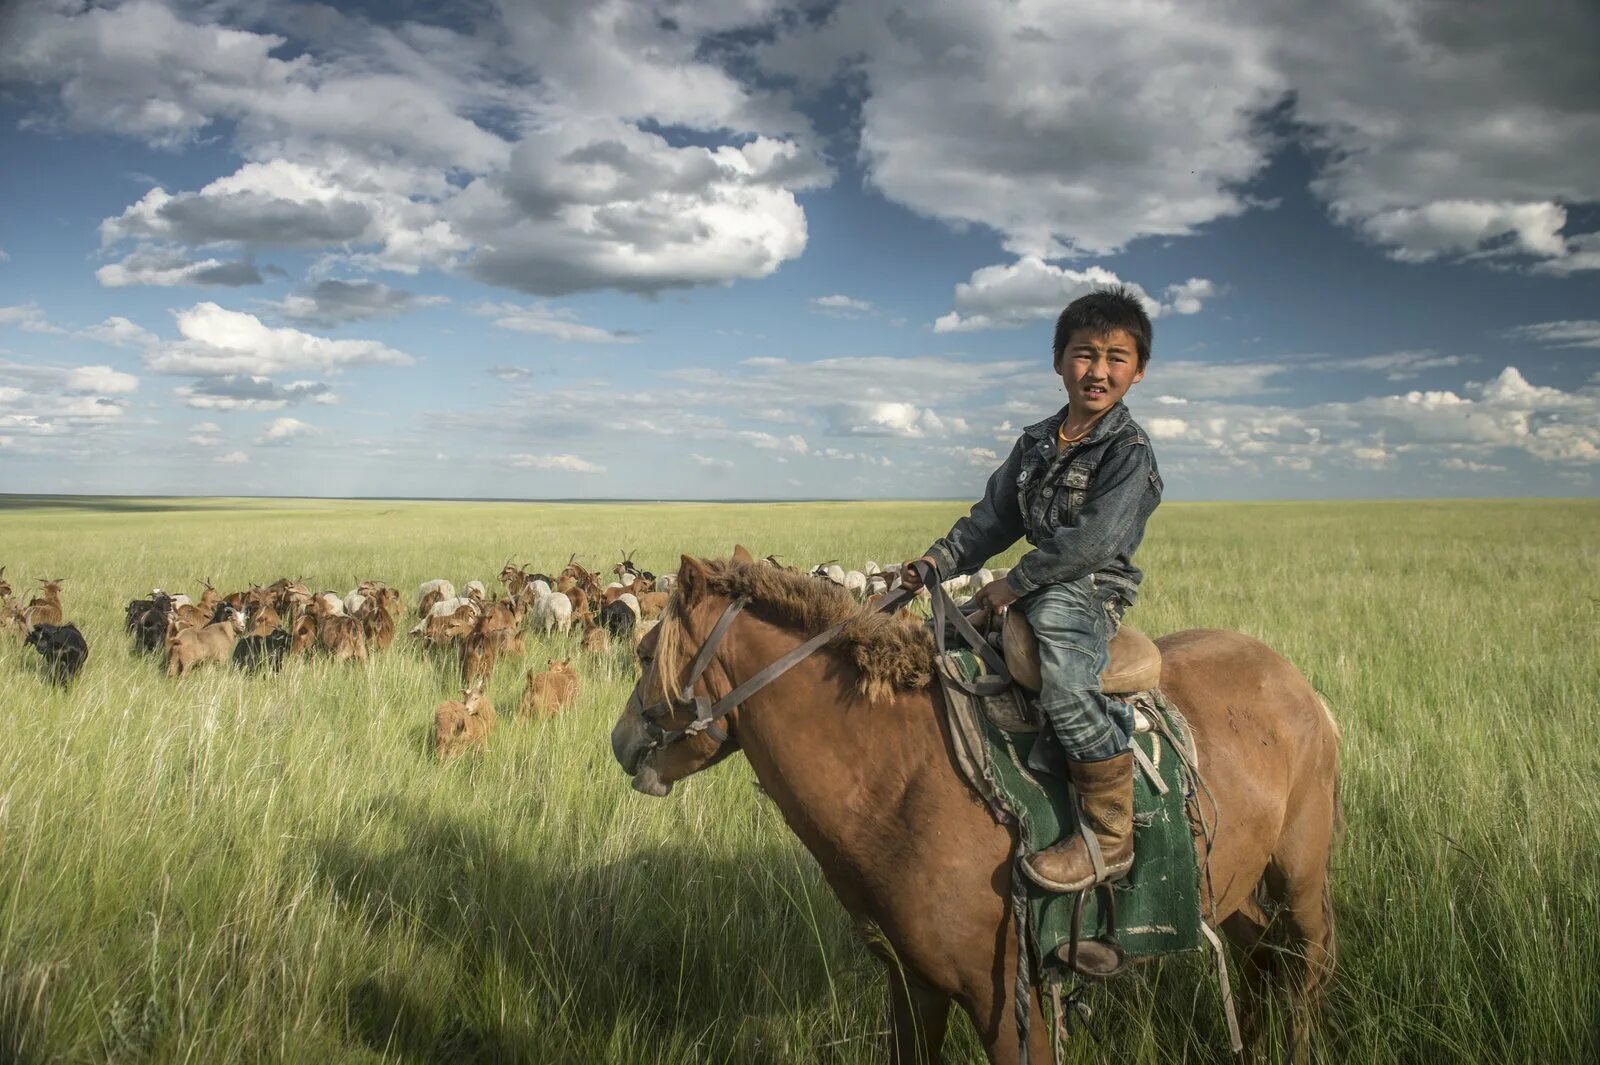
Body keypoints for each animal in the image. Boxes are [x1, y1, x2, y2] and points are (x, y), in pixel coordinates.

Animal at [611, 546, 1337, 1061]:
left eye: (647, 653)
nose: (620, 742)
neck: (898, 778)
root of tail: (1295, 682)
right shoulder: (912, 986)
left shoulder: (1006, 1004)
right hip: (1231, 886)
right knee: (1260, 958)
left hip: (1300, 877)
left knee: (1305, 968)